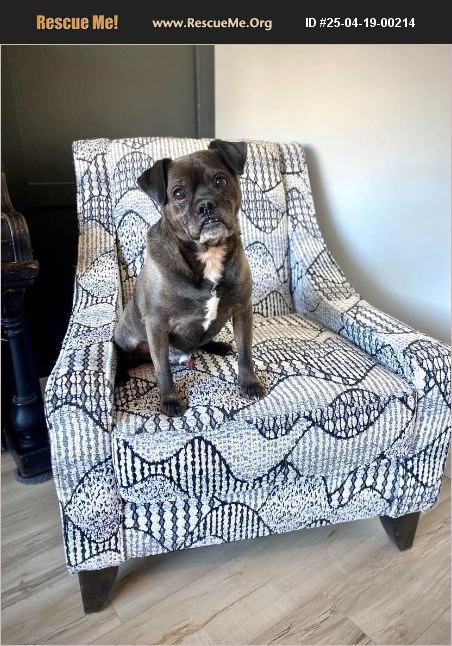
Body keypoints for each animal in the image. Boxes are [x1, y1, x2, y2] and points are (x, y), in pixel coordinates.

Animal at [114, 139, 265, 417]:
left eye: (220, 180)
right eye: (178, 194)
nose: (206, 205)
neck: (208, 253)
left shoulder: (242, 310)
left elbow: (245, 352)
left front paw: (249, 383)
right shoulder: (157, 325)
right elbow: (162, 370)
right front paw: (170, 401)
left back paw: (216, 345)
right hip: (128, 338)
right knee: (121, 353)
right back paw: (119, 374)